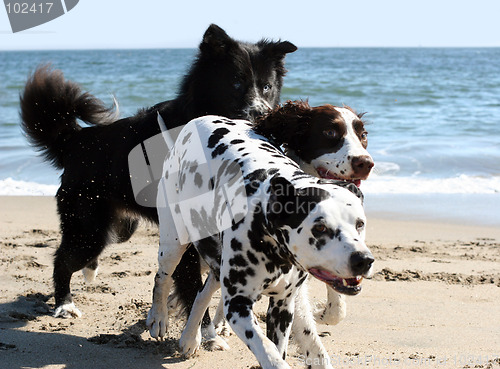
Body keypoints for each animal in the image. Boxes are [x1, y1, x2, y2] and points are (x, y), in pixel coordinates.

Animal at [20, 23, 296, 316]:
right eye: (236, 83)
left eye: (266, 86)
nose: (262, 114)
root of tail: (76, 139)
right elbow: (192, 287)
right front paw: (199, 325)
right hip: (88, 227)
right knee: (63, 259)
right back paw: (64, 304)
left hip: (117, 227)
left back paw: (87, 274)